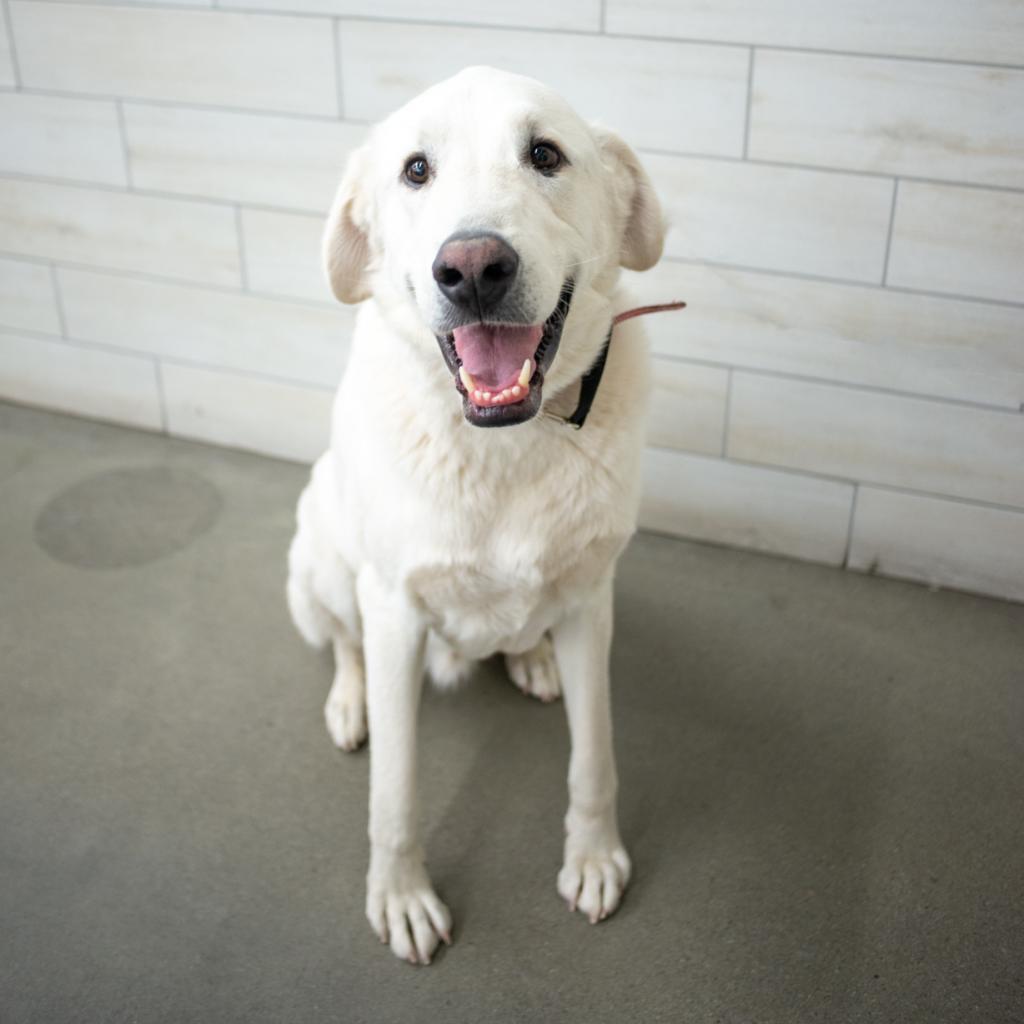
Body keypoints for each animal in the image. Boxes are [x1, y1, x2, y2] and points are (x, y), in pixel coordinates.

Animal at [284, 68, 667, 962]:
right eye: (416, 171)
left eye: (546, 155)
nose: (473, 267)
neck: (504, 444)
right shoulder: (393, 612)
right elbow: (394, 792)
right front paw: (400, 896)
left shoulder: (592, 602)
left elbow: (595, 759)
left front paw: (593, 856)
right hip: (322, 554)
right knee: (343, 642)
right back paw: (350, 702)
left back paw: (529, 659)